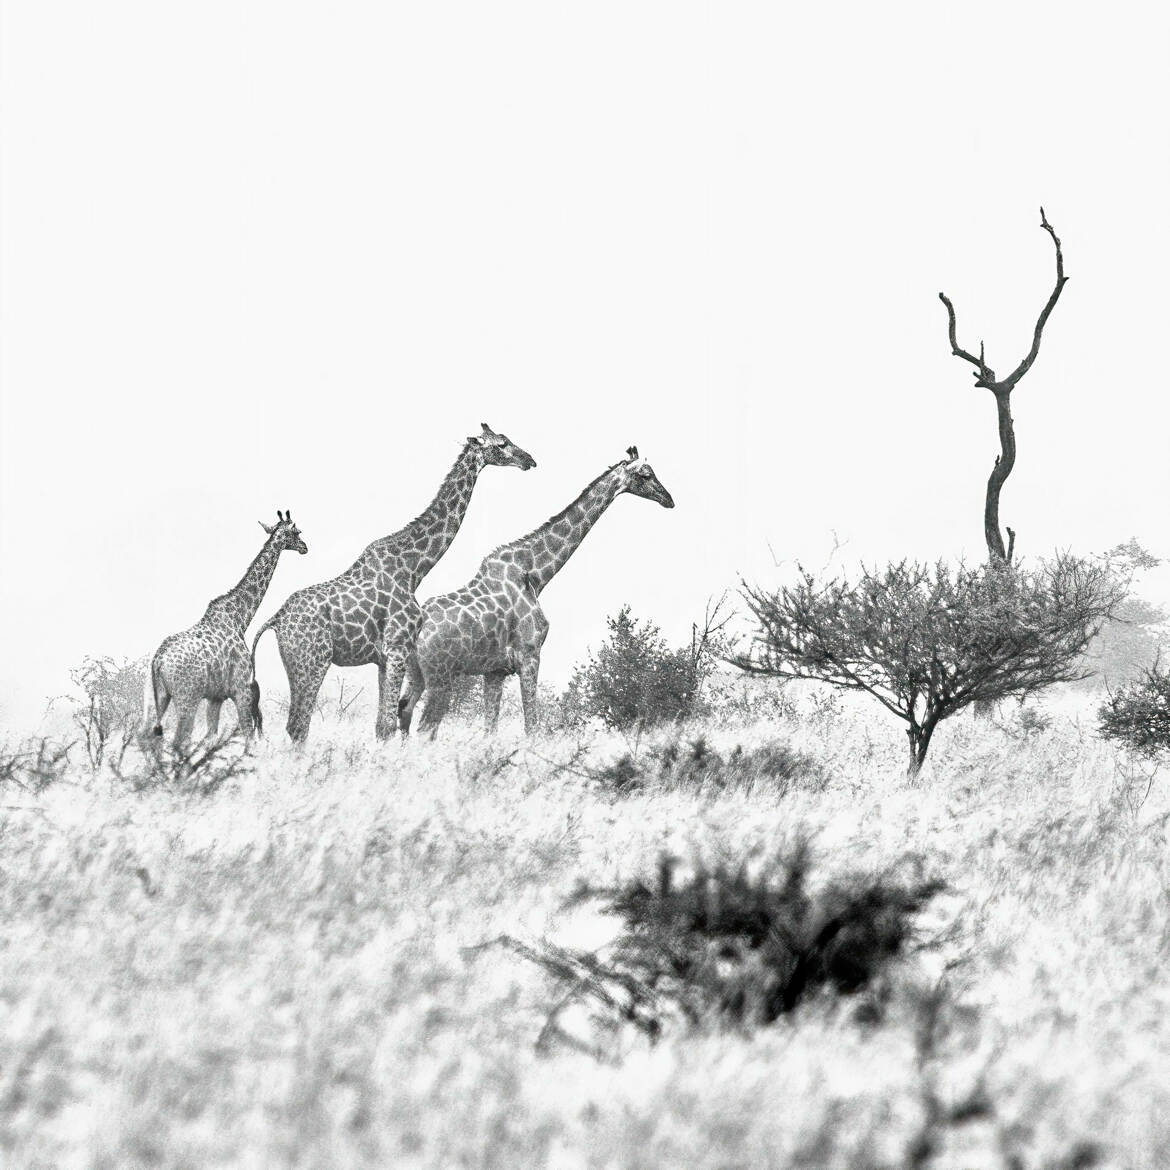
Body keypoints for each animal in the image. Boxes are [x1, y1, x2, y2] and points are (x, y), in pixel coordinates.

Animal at [149, 510, 306, 748]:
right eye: (297, 531)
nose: (305, 547)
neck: (240, 618)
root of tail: (158, 662)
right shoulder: (241, 690)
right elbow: (248, 735)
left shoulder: (216, 697)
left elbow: (210, 737)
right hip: (187, 698)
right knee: (178, 741)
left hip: (161, 697)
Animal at [253, 428, 535, 739]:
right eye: (502, 444)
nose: (529, 460)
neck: (413, 570)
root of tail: (276, 620)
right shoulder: (398, 648)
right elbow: (389, 725)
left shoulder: (384, 658)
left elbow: (381, 724)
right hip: (313, 660)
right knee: (298, 725)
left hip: (297, 663)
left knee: (296, 725)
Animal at [400, 442, 678, 734]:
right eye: (646, 475)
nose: (669, 499)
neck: (535, 575)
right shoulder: (529, 655)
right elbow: (532, 726)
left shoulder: (495, 670)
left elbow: (490, 729)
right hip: (441, 675)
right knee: (424, 728)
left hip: (415, 674)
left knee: (402, 717)